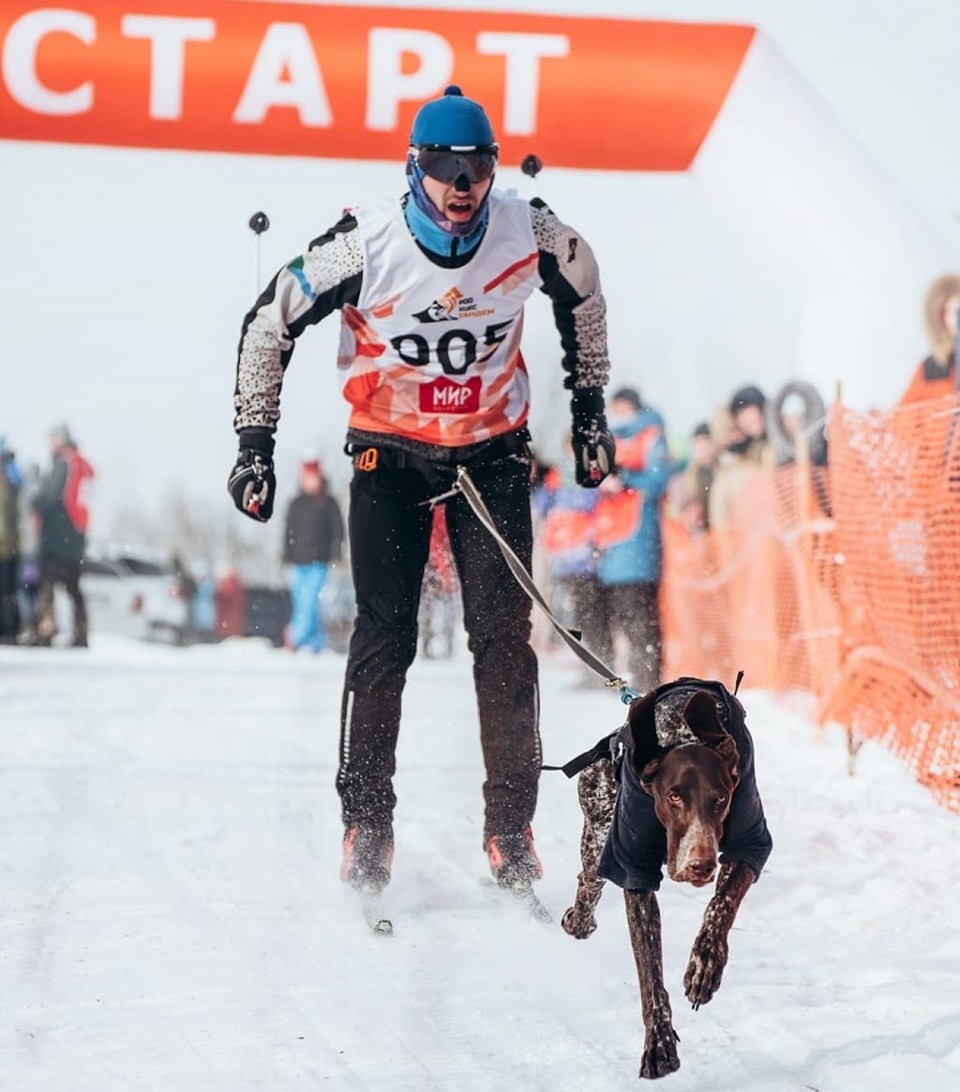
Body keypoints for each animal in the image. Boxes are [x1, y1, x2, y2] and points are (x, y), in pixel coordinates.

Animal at [563, 677, 773, 1078]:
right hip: (599, 830)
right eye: (674, 796)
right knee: (589, 880)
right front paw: (658, 1043)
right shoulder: (633, 867)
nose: (700, 863)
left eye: (721, 798)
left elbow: (721, 907)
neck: (682, 731)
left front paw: (705, 964)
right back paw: (578, 919)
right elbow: (650, 973)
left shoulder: (748, 842)